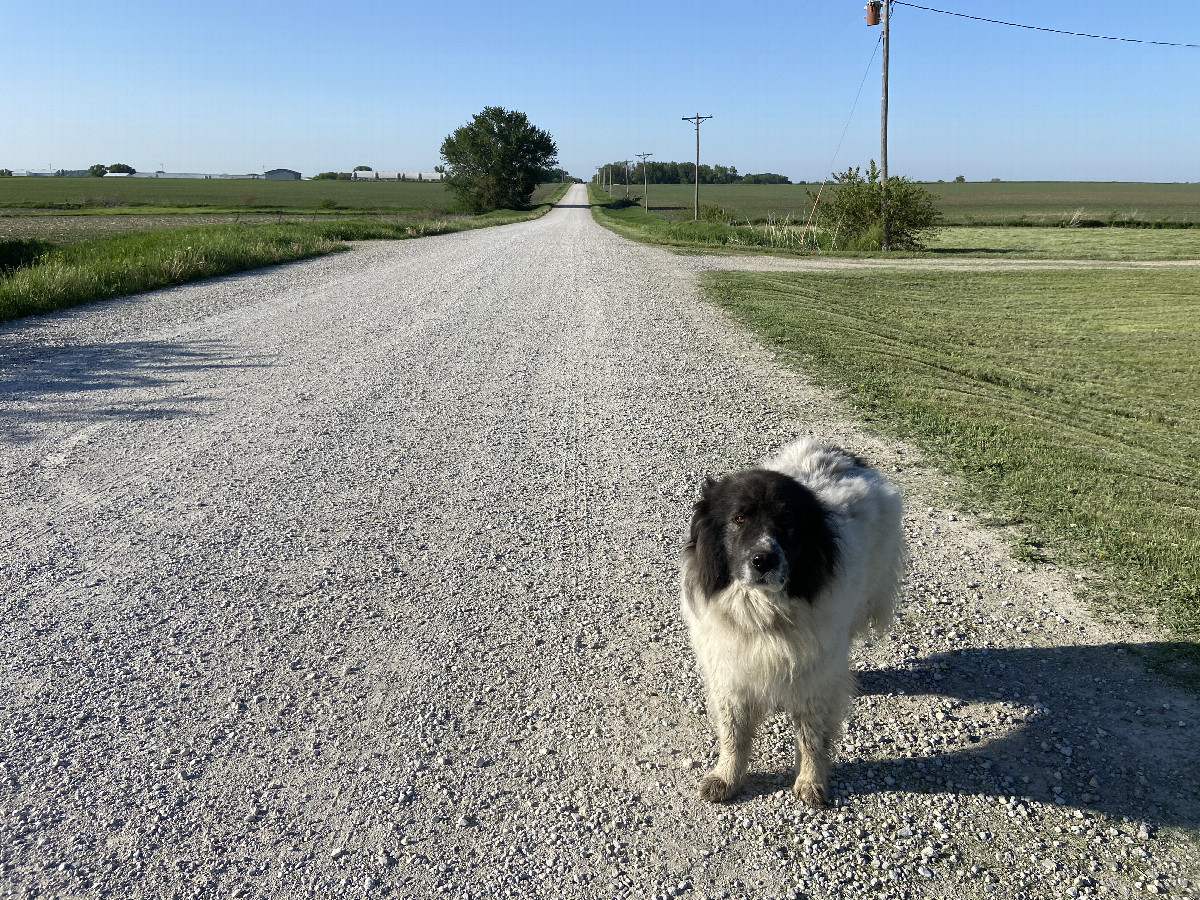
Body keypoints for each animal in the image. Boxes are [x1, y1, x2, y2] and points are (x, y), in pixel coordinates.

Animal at [681, 439, 902, 811]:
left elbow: (811, 736)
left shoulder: (813, 678)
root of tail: (840, 452)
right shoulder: (730, 673)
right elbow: (733, 734)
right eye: (739, 518)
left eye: (787, 522)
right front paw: (727, 777)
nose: (763, 560)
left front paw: (811, 782)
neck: (764, 613)